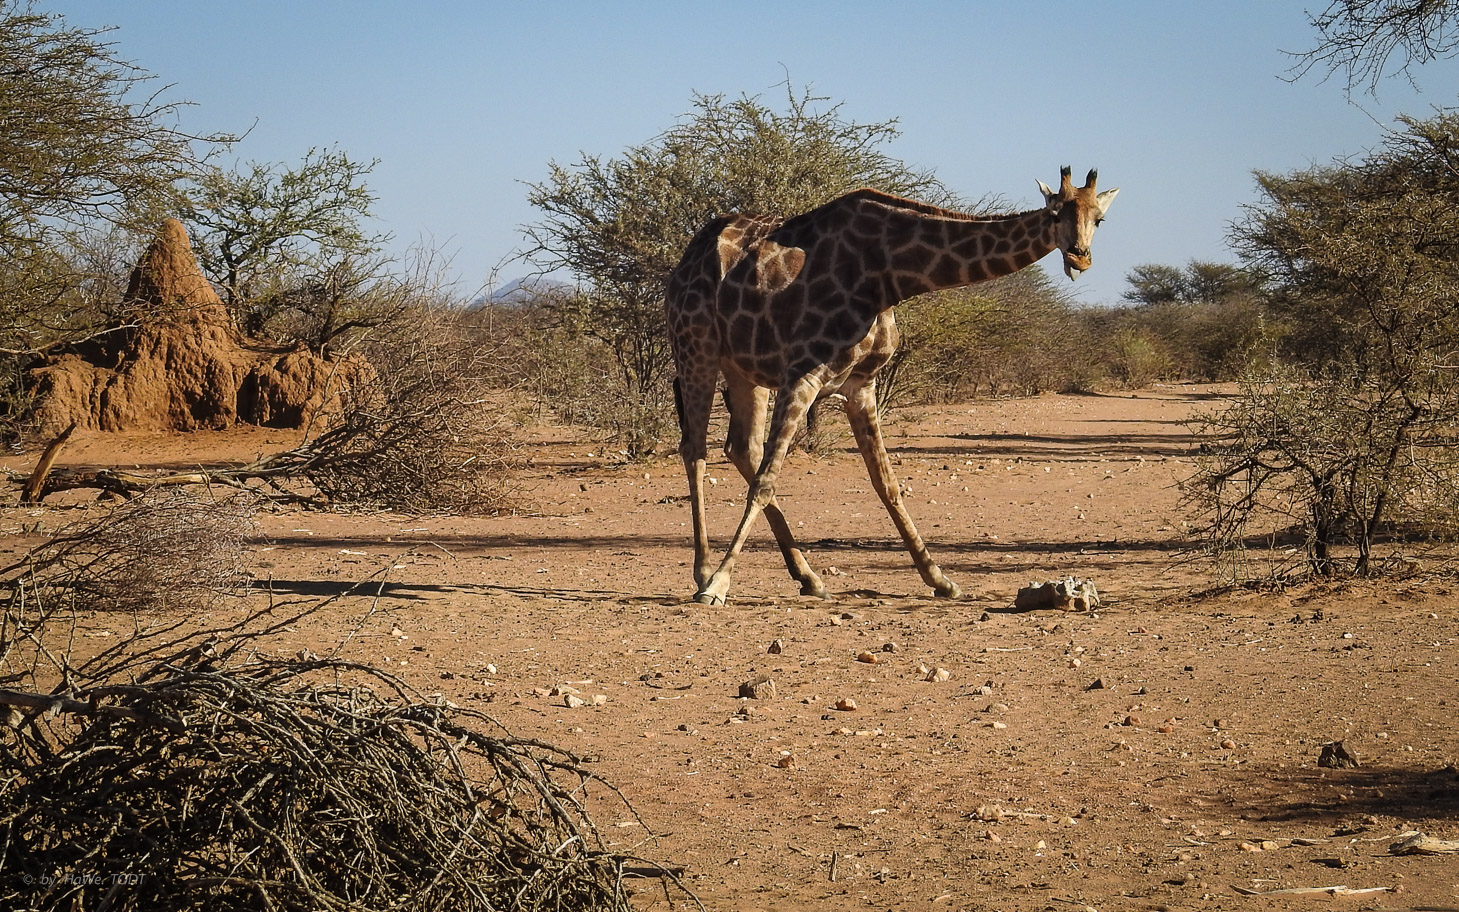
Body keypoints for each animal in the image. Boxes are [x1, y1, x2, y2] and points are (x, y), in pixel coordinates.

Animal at [666, 167, 1118, 605]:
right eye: (1055, 214)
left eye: (1099, 218)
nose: (1080, 256)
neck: (887, 275)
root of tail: (686, 258)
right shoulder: (802, 375)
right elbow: (765, 483)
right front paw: (718, 584)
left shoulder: (860, 385)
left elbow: (888, 484)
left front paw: (942, 580)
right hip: (696, 346)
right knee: (696, 449)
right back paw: (704, 572)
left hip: (745, 369)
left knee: (741, 447)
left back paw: (810, 579)